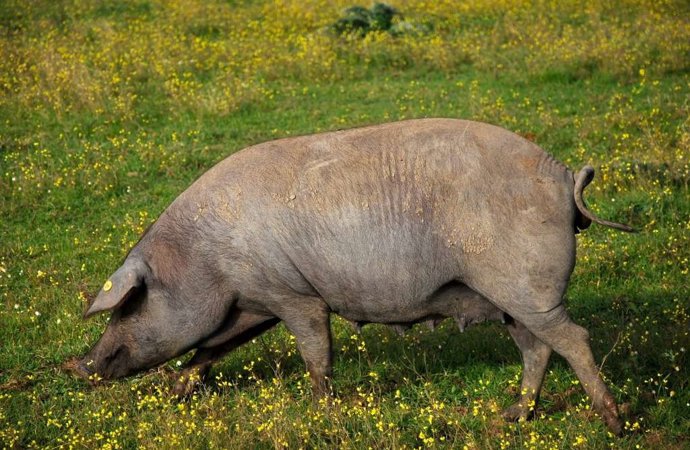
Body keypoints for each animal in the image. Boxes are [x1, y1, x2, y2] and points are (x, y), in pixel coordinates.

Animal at [75, 118, 634, 434]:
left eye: (130, 304)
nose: (76, 366)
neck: (205, 258)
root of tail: (564, 175)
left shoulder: (295, 294)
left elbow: (315, 351)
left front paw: (323, 410)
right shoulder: (254, 300)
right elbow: (213, 346)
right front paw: (178, 391)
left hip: (528, 286)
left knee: (574, 338)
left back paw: (614, 423)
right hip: (509, 297)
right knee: (537, 348)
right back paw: (512, 417)